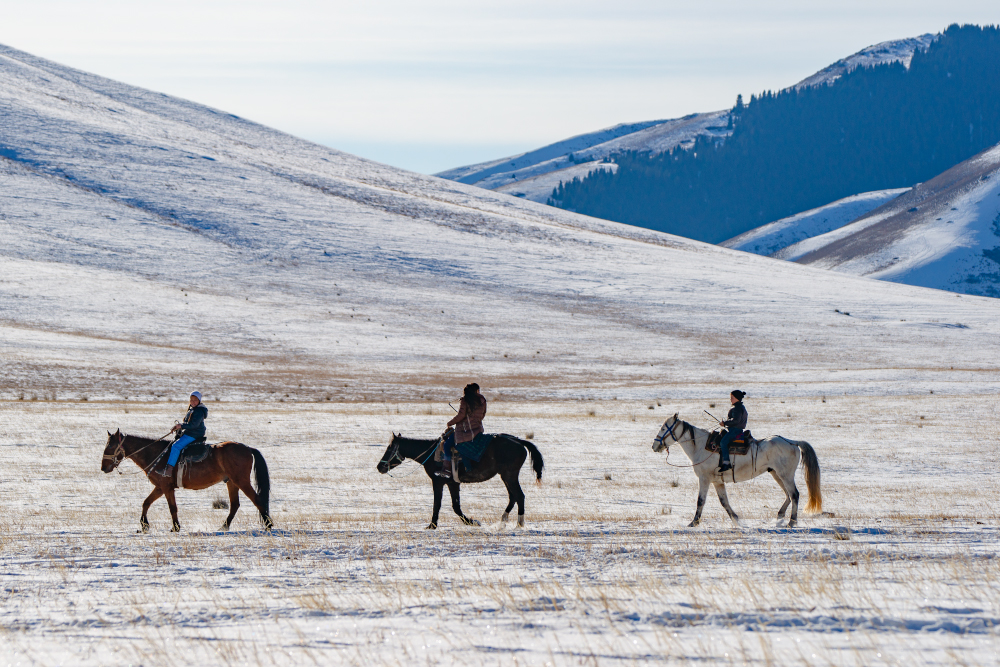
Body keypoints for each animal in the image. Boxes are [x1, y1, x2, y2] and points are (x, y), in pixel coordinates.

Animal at [102, 430, 274, 536]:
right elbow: (146, 503)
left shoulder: (166, 487)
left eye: (110, 446)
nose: (103, 467)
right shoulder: (160, 487)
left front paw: (175, 527)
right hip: (231, 482)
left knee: (257, 500)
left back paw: (268, 525)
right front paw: (144, 525)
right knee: (235, 505)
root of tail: (247, 448)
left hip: (241, 480)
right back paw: (224, 526)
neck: (157, 454)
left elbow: (172, 508)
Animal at [376, 434, 548, 532]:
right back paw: (503, 521)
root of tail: (519, 442)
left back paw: (519, 524)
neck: (432, 454)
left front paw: (434, 525)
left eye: (389, 448)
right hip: (506, 476)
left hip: (510, 475)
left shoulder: (440, 482)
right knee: (513, 497)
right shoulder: (451, 484)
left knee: (519, 496)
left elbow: (444, 505)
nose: (379, 467)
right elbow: (452, 505)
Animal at [656, 412, 820, 528]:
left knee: (794, 494)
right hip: (776, 474)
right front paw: (736, 520)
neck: (700, 446)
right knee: (788, 495)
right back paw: (780, 516)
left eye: (664, 428)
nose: (654, 445)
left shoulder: (704, 479)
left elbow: (700, 501)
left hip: (786, 475)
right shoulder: (717, 481)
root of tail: (791, 442)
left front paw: (694, 522)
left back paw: (792, 521)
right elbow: (724, 502)